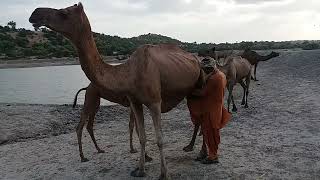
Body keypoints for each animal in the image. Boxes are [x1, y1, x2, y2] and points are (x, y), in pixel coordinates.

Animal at [28, 3, 204, 179]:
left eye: (64, 12)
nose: (34, 13)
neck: (128, 73)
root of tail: (196, 59)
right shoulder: (135, 101)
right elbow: (142, 136)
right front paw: (140, 170)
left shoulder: (154, 101)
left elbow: (159, 139)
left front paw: (163, 174)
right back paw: (192, 149)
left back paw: (202, 154)